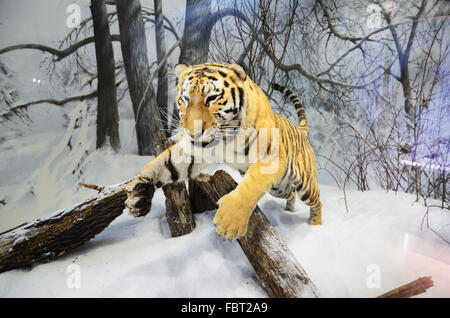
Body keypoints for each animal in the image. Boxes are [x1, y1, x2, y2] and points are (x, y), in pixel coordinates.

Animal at [125, 62, 324, 240]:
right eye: (186, 99)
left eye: (211, 98)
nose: (193, 133)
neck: (226, 137)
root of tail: (300, 129)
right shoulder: (193, 152)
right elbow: (162, 164)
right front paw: (139, 192)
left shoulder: (271, 157)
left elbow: (251, 184)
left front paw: (229, 221)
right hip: (278, 187)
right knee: (290, 193)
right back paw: (289, 210)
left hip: (305, 185)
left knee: (317, 201)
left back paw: (315, 225)